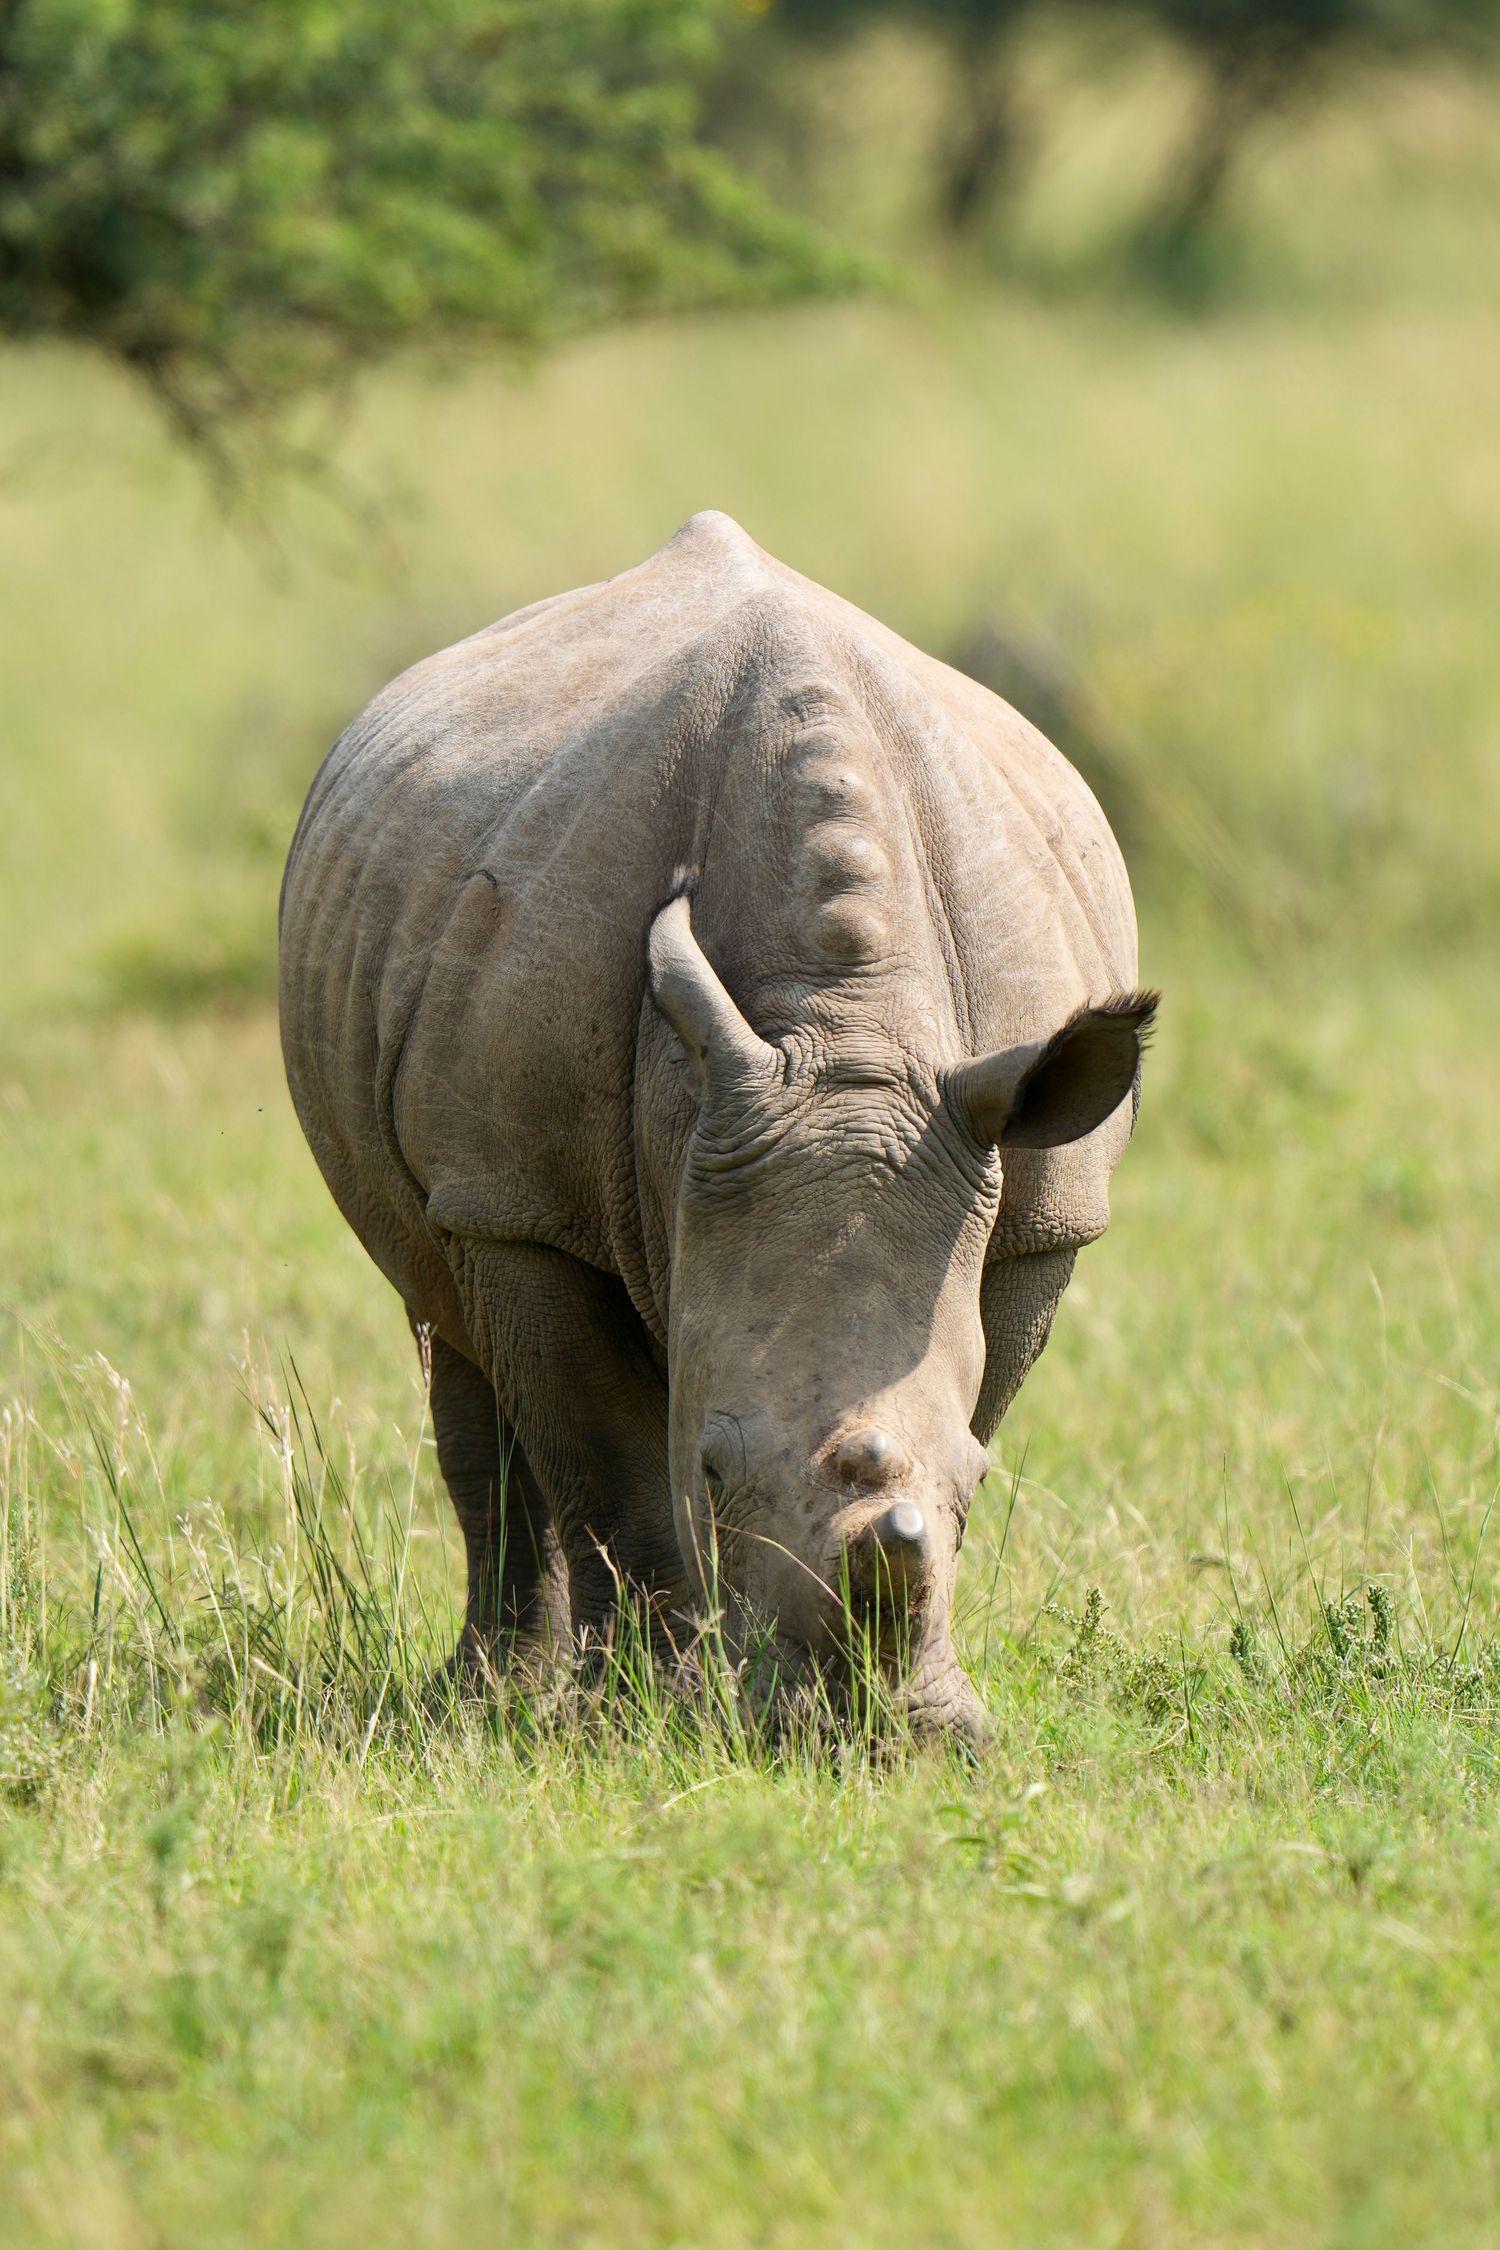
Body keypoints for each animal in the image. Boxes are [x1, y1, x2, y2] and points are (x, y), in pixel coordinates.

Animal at [279, 512, 1155, 1745]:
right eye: (713, 1473)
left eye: (983, 1483)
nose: (865, 1743)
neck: (845, 1026)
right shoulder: (518, 1202)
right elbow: (612, 1472)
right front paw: (639, 1720)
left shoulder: (1039, 1211)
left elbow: (973, 1397)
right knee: (451, 1333)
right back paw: (488, 1701)